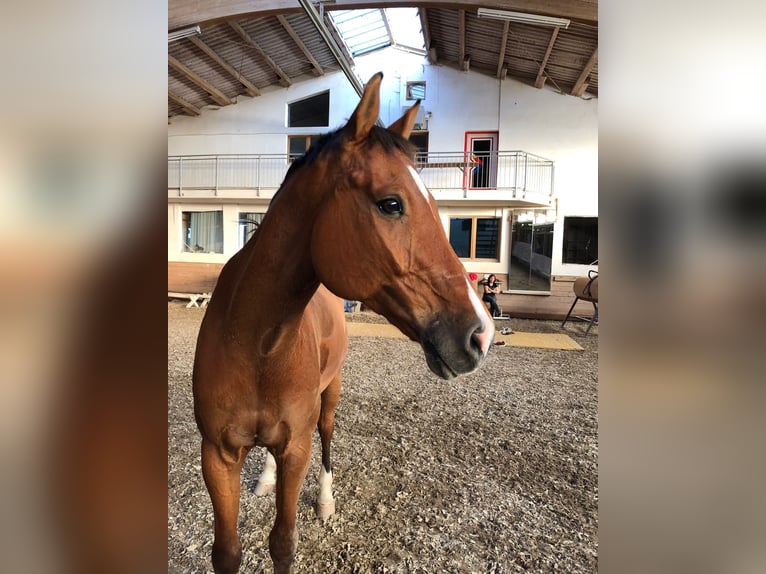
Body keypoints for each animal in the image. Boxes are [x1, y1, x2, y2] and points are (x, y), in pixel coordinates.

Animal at [192, 72, 495, 574]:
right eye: (391, 204)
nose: (481, 333)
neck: (257, 343)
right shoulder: (217, 456)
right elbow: (227, 552)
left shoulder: (297, 448)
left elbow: (283, 542)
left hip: (330, 396)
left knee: (329, 438)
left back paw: (326, 501)